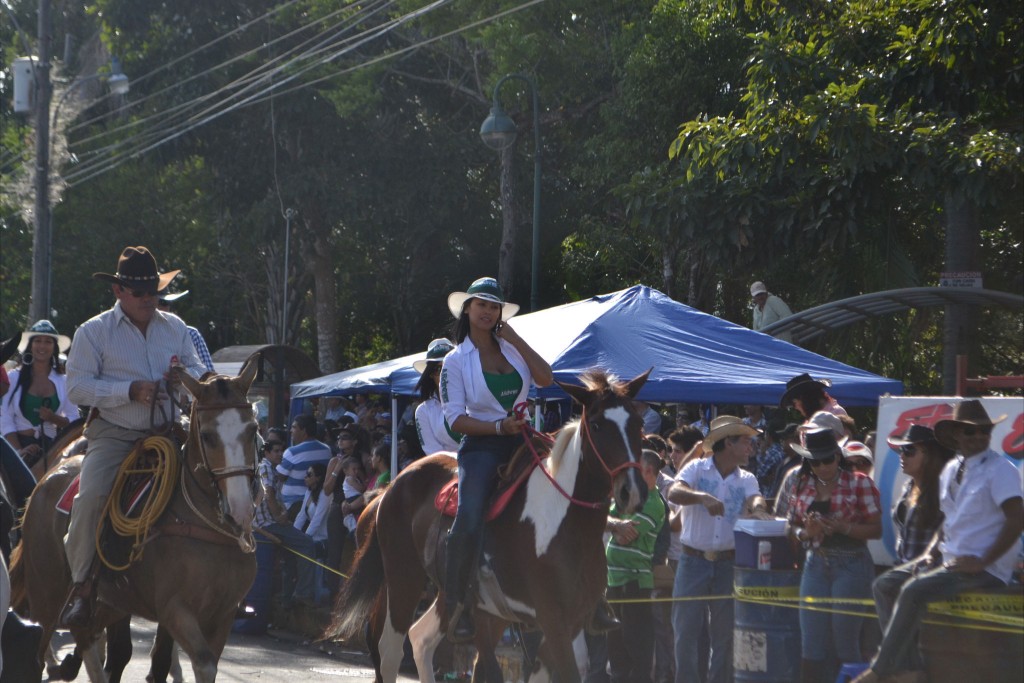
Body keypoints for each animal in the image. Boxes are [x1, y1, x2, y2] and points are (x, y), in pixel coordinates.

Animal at [12, 366, 260, 683]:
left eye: (252, 430)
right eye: (207, 435)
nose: (240, 510)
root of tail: (44, 481)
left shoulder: (223, 614)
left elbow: (179, 662)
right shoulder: (174, 609)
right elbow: (200, 662)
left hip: (109, 604)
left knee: (87, 636)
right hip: (47, 599)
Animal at [323, 368, 651, 683]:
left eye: (637, 424)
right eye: (596, 425)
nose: (632, 491)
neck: (566, 524)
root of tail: (392, 485)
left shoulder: (568, 623)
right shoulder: (552, 620)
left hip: (460, 602)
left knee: (421, 640)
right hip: (405, 579)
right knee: (391, 653)